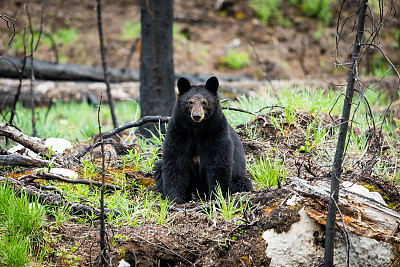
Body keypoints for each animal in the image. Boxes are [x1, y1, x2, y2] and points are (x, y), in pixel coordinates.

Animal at [154, 76, 253, 204]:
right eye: (190, 102)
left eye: (204, 102)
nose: (197, 116)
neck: (196, 129)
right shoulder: (178, 133)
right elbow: (175, 162)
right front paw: (175, 198)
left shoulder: (216, 132)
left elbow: (218, 162)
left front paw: (216, 196)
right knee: (159, 168)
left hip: (238, 177)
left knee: (241, 183)